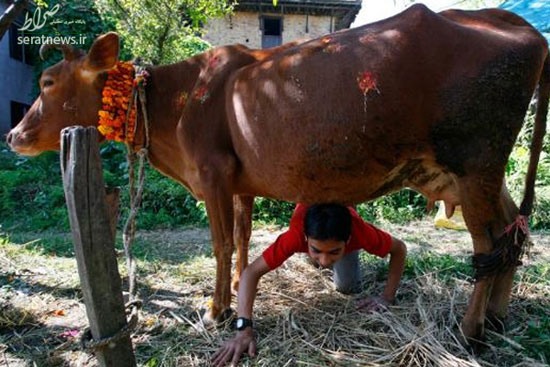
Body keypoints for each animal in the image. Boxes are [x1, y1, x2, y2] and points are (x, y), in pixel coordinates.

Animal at [6, 4, 548, 340]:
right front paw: (236, 295)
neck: (178, 100)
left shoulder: (212, 172)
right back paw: (497, 317)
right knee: (512, 232)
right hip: (480, 173)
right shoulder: (239, 183)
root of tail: (518, 26)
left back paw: (471, 330)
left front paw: (216, 310)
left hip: (474, 160)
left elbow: (222, 242)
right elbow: (244, 240)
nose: (12, 135)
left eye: (48, 81)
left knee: (489, 242)